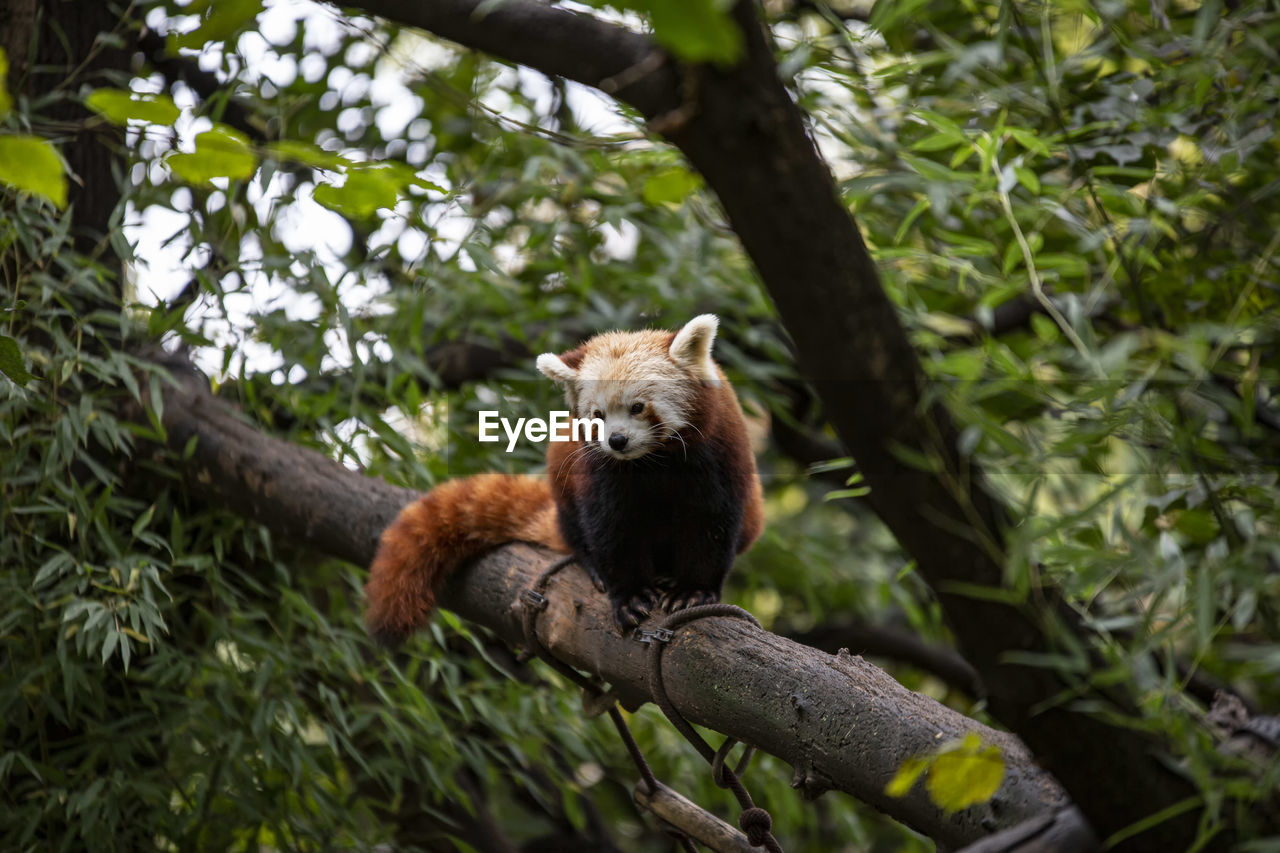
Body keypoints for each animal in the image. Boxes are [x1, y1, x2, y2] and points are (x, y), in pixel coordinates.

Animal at [363, 315, 757, 640]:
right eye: (598, 415)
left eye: (637, 407)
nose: (616, 440)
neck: (651, 462)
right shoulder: (600, 472)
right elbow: (612, 529)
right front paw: (630, 595)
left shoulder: (717, 455)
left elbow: (712, 524)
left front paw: (693, 590)